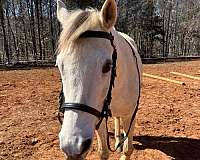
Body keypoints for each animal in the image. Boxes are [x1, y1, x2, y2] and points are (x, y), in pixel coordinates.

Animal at [55, 0, 142, 159]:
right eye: (59, 65)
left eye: (108, 66)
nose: (72, 145)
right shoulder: (98, 117)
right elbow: (103, 152)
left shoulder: (130, 115)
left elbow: (128, 150)